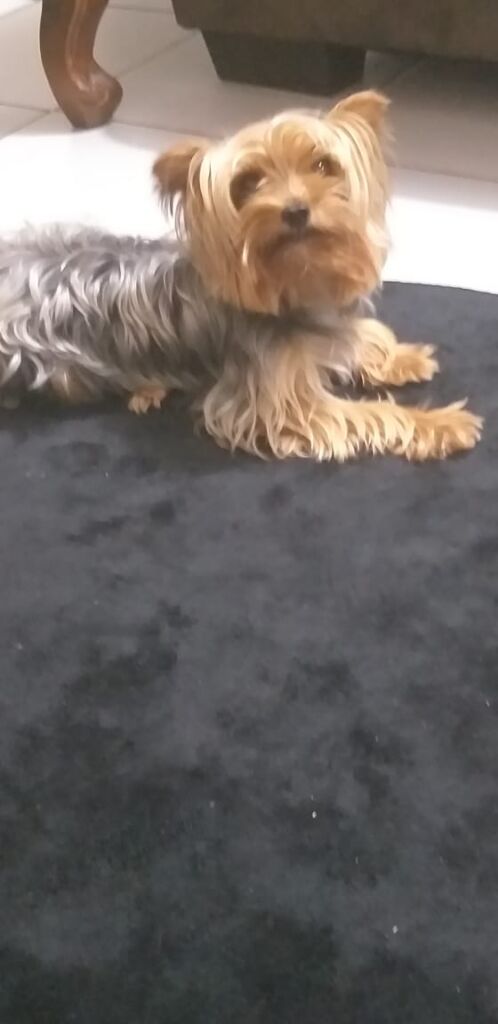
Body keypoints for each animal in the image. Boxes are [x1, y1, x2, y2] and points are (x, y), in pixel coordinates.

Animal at [0, 90, 481, 460]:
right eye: (247, 183)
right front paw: (441, 423)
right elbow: (368, 414)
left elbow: (365, 335)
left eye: (323, 166)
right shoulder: (276, 404)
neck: (299, 284)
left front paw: (404, 357)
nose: (295, 210)